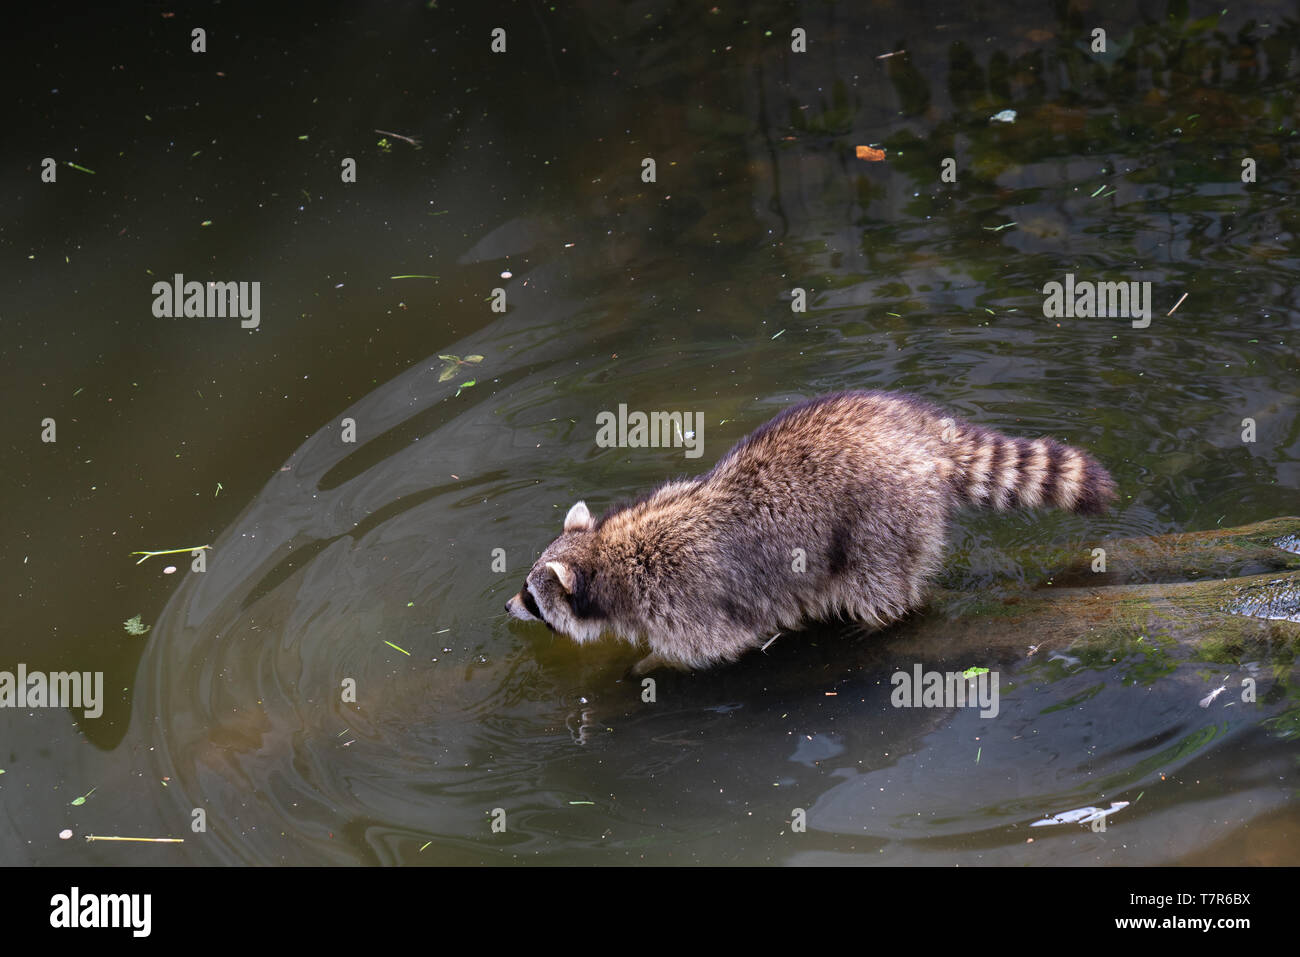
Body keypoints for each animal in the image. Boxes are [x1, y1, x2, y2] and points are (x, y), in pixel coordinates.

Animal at [506, 390, 1118, 670]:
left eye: (532, 595)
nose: (507, 607)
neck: (608, 551)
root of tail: (922, 435)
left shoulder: (684, 599)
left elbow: (715, 647)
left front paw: (655, 663)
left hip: (883, 516)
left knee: (877, 582)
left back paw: (879, 618)